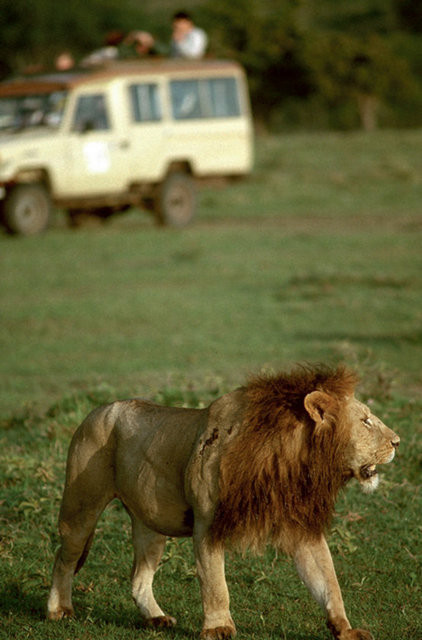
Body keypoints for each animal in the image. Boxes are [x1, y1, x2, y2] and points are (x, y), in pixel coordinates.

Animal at [47, 364, 400, 640]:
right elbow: (215, 582)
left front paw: (345, 628)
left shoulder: (302, 527)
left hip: (150, 523)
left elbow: (327, 580)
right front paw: (218, 627)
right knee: (64, 557)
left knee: (138, 577)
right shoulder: (207, 523)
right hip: (81, 506)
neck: (293, 462)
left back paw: (155, 618)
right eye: (366, 421)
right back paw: (59, 609)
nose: (398, 441)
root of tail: (95, 411)